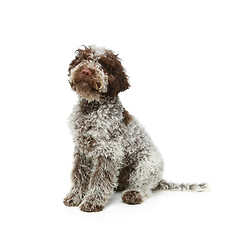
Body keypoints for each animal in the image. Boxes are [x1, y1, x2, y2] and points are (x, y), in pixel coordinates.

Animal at [63, 44, 208, 212]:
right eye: (83, 59)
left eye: (104, 66)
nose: (86, 71)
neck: (91, 109)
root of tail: (159, 180)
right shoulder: (82, 149)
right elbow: (79, 175)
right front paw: (75, 197)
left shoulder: (108, 150)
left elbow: (100, 179)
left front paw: (92, 201)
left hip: (146, 164)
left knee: (144, 187)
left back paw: (133, 194)